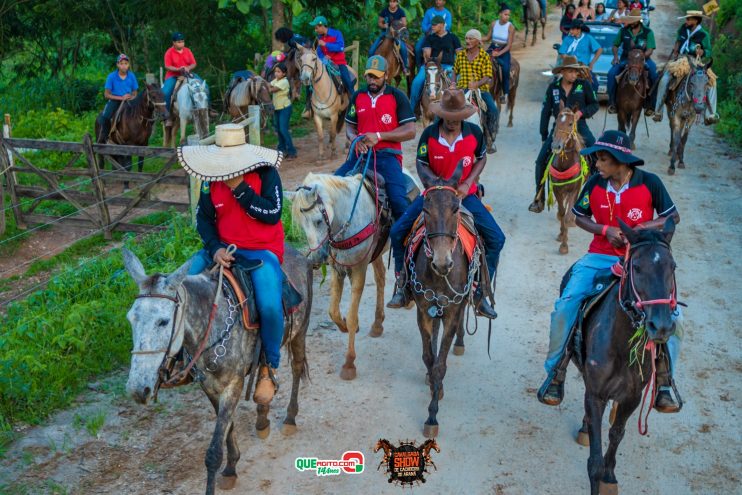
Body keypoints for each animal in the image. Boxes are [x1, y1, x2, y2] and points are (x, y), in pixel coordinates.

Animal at [121, 246, 310, 494]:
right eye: (130, 319)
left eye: (163, 321)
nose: (137, 390)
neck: (213, 323)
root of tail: (298, 253)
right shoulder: (209, 386)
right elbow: (227, 428)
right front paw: (231, 467)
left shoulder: (233, 385)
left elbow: (213, 451)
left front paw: (224, 472)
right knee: (264, 371)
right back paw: (262, 418)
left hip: (299, 332)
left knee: (297, 369)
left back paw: (289, 418)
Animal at [410, 161, 480, 436]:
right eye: (425, 210)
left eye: (455, 208)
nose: (442, 262)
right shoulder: (424, 310)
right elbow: (429, 357)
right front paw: (433, 385)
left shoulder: (451, 311)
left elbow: (440, 363)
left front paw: (432, 416)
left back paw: (459, 342)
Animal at [548, 106, 588, 258]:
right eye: (556, 121)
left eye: (571, 124)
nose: (556, 146)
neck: (565, 164)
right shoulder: (557, 189)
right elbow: (561, 212)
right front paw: (562, 236)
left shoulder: (574, 190)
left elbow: (566, 215)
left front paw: (564, 246)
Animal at [576, 220, 680, 495]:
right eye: (636, 267)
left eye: (673, 266)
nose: (661, 326)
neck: (622, 345)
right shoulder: (596, 394)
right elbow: (594, 460)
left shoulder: (632, 397)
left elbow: (616, 433)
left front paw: (610, 476)